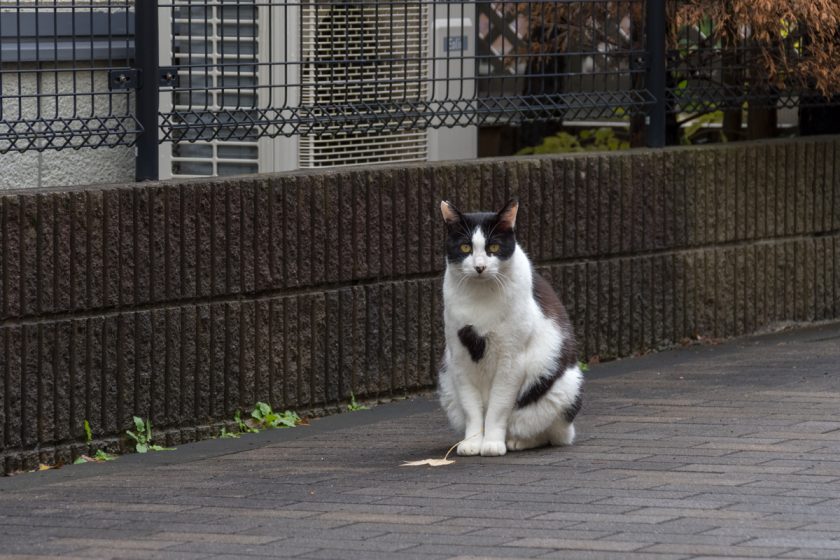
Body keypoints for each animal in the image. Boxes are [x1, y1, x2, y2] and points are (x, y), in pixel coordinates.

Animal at [440, 199, 584, 458]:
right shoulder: (459, 356)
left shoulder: (512, 358)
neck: (481, 296)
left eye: (494, 247)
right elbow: (471, 408)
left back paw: (516, 441)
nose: (479, 266)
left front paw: (492, 443)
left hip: (564, 387)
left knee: (548, 433)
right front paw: (473, 442)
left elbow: (498, 407)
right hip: (447, 383)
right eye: (465, 247)